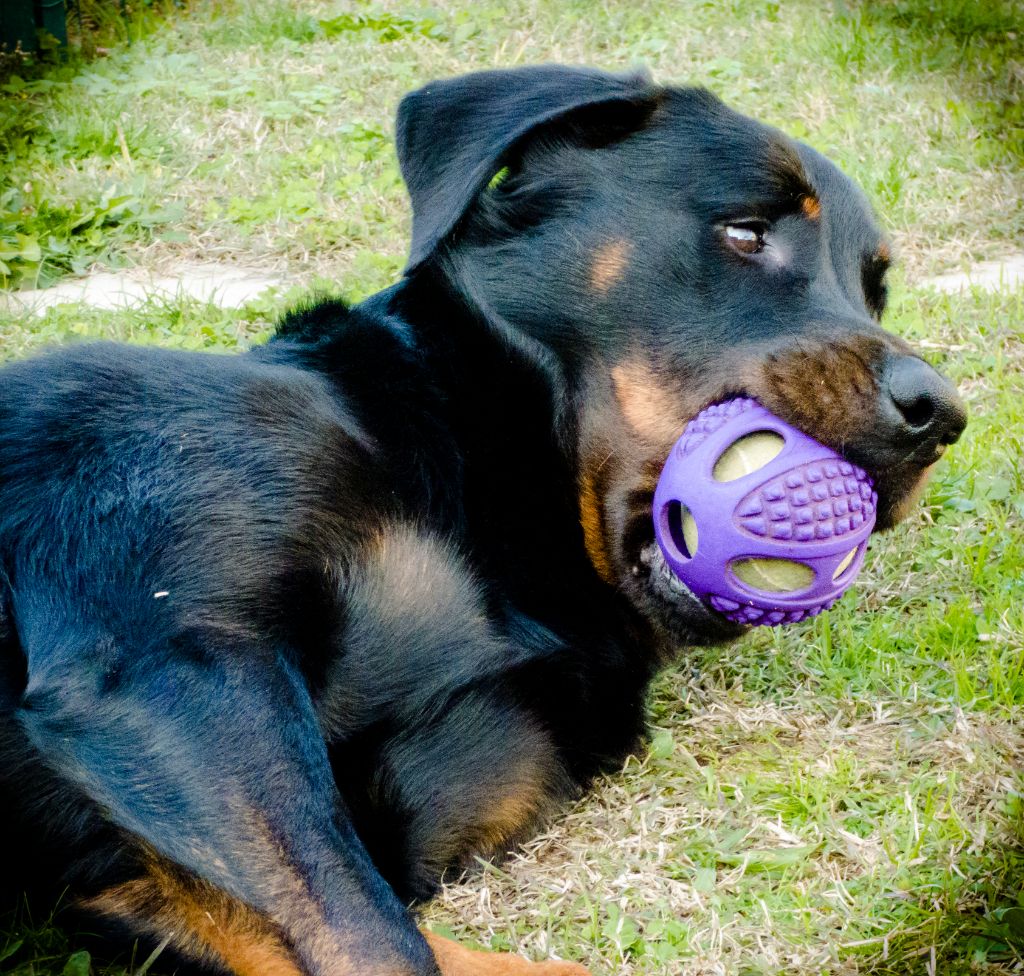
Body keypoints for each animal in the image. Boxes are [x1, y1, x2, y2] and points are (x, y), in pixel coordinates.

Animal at [0, 65, 966, 976]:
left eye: (874, 291)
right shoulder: (161, 662)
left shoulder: (133, 878)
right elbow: (379, 942)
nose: (942, 413)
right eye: (745, 232)